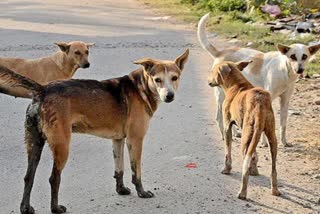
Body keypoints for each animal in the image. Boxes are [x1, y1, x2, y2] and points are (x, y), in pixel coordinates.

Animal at [0, 49, 189, 214]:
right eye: (157, 80)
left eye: (175, 78)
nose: (169, 96)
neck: (140, 87)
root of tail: (43, 89)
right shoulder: (135, 140)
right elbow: (137, 171)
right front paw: (141, 192)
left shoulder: (118, 140)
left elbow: (119, 169)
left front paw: (121, 189)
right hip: (62, 145)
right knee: (54, 178)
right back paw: (56, 208)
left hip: (34, 144)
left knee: (28, 177)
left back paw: (25, 208)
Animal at [198, 13, 320, 147]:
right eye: (292, 56)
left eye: (304, 56)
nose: (299, 70)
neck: (285, 71)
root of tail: (221, 52)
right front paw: (264, 142)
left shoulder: (285, 101)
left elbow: (283, 124)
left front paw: (284, 142)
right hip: (221, 96)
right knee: (219, 117)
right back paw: (225, 135)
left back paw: (235, 133)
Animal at [208, 60, 280, 201]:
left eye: (213, 71)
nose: (208, 80)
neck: (236, 85)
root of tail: (259, 102)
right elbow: (254, 154)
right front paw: (255, 170)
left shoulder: (227, 126)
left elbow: (228, 152)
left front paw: (227, 169)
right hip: (271, 137)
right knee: (273, 168)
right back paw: (274, 189)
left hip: (245, 138)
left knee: (244, 167)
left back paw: (242, 192)